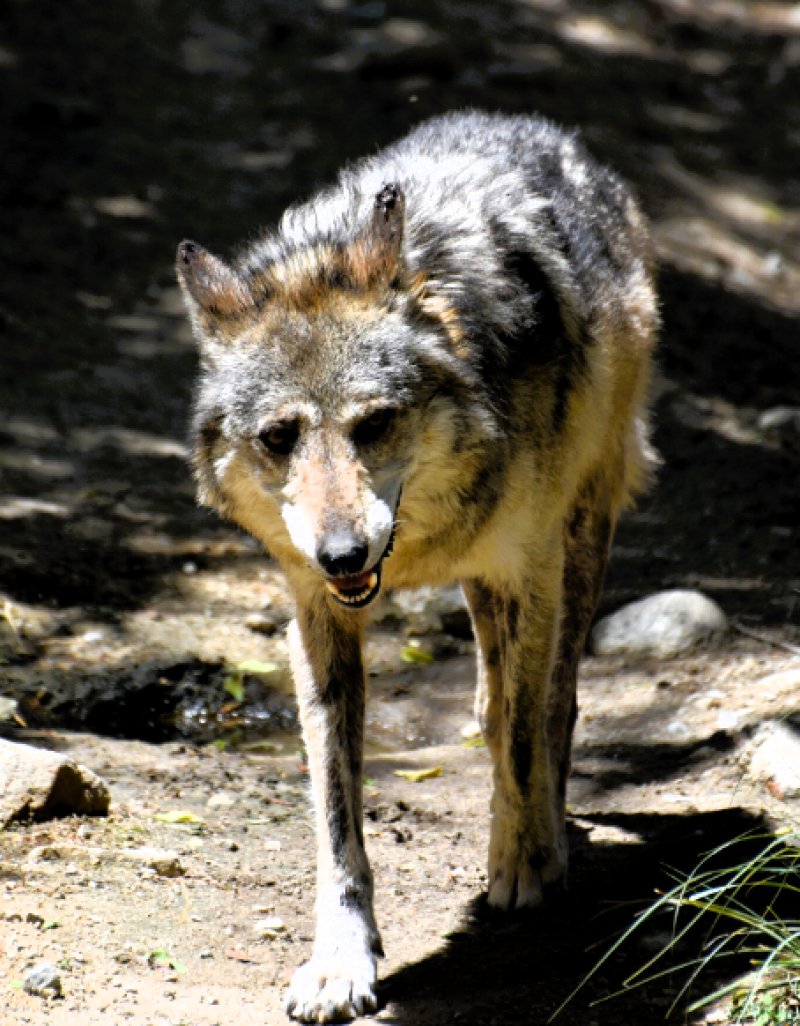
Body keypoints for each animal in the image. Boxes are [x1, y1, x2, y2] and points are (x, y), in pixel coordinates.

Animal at [176, 110, 657, 1022]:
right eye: (279, 437)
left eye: (374, 423)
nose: (342, 552)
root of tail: (528, 125)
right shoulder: (317, 614)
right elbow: (336, 810)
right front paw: (341, 959)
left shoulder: (529, 568)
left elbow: (522, 736)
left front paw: (523, 863)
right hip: (488, 587)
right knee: (490, 692)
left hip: (578, 539)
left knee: (551, 704)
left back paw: (544, 832)